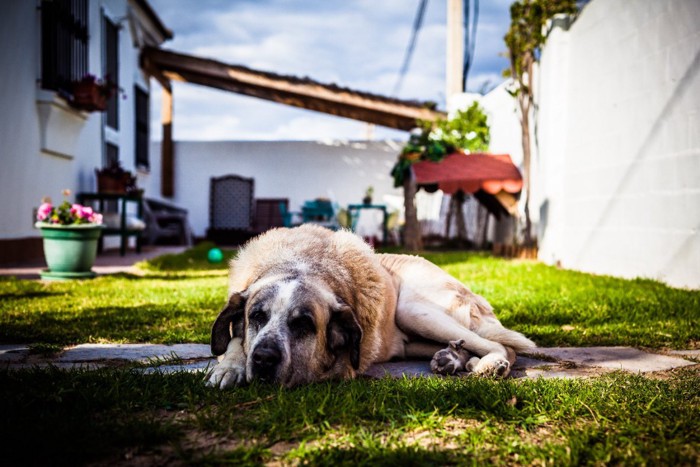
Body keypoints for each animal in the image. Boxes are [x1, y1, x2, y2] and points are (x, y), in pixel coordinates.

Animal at [208, 225, 536, 390]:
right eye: (257, 317)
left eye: (303, 324)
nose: (264, 358)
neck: (301, 263)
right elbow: (236, 338)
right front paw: (229, 367)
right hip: (410, 339)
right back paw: (452, 359)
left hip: (413, 310)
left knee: (502, 346)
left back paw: (490, 365)